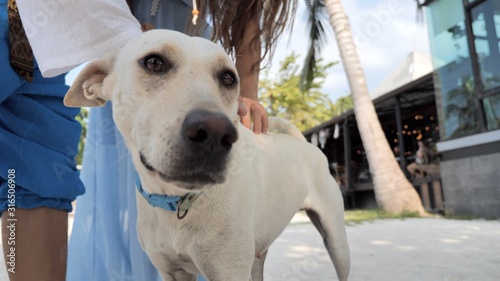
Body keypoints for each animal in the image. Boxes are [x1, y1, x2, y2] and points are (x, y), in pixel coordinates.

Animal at [64, 29, 350, 278]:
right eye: (154, 63)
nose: (215, 133)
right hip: (258, 256)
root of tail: (307, 145)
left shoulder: (229, 272)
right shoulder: (172, 273)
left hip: (336, 243)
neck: (179, 202)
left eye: (228, 77)